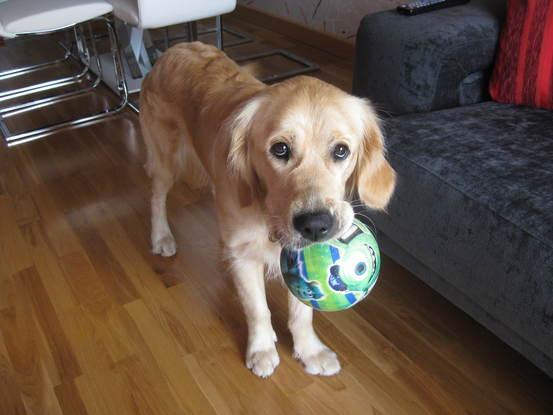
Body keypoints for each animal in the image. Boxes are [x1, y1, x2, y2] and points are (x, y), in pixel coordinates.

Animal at [140, 43, 394, 380]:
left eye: (341, 151)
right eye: (280, 149)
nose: (316, 225)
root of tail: (173, 49)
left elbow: (302, 312)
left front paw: (309, 351)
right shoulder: (246, 255)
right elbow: (257, 309)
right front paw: (261, 350)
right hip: (167, 157)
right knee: (156, 195)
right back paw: (161, 237)